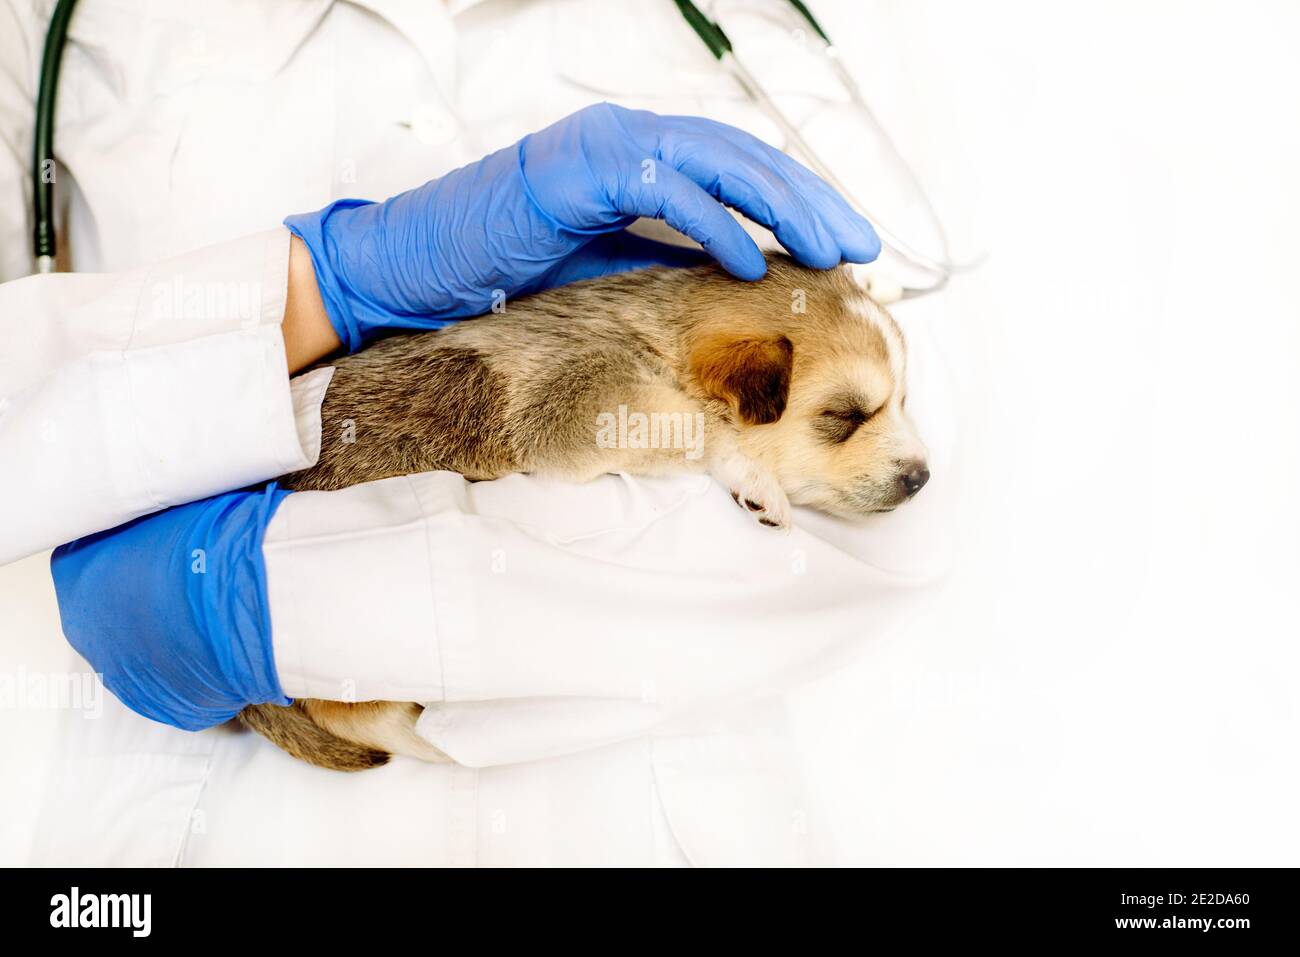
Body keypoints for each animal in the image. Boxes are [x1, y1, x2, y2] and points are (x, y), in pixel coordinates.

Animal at [239, 252, 930, 769]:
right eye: (844, 416)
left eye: (902, 401)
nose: (922, 478)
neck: (653, 335)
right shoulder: (578, 406)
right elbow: (698, 427)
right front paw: (749, 475)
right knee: (356, 715)